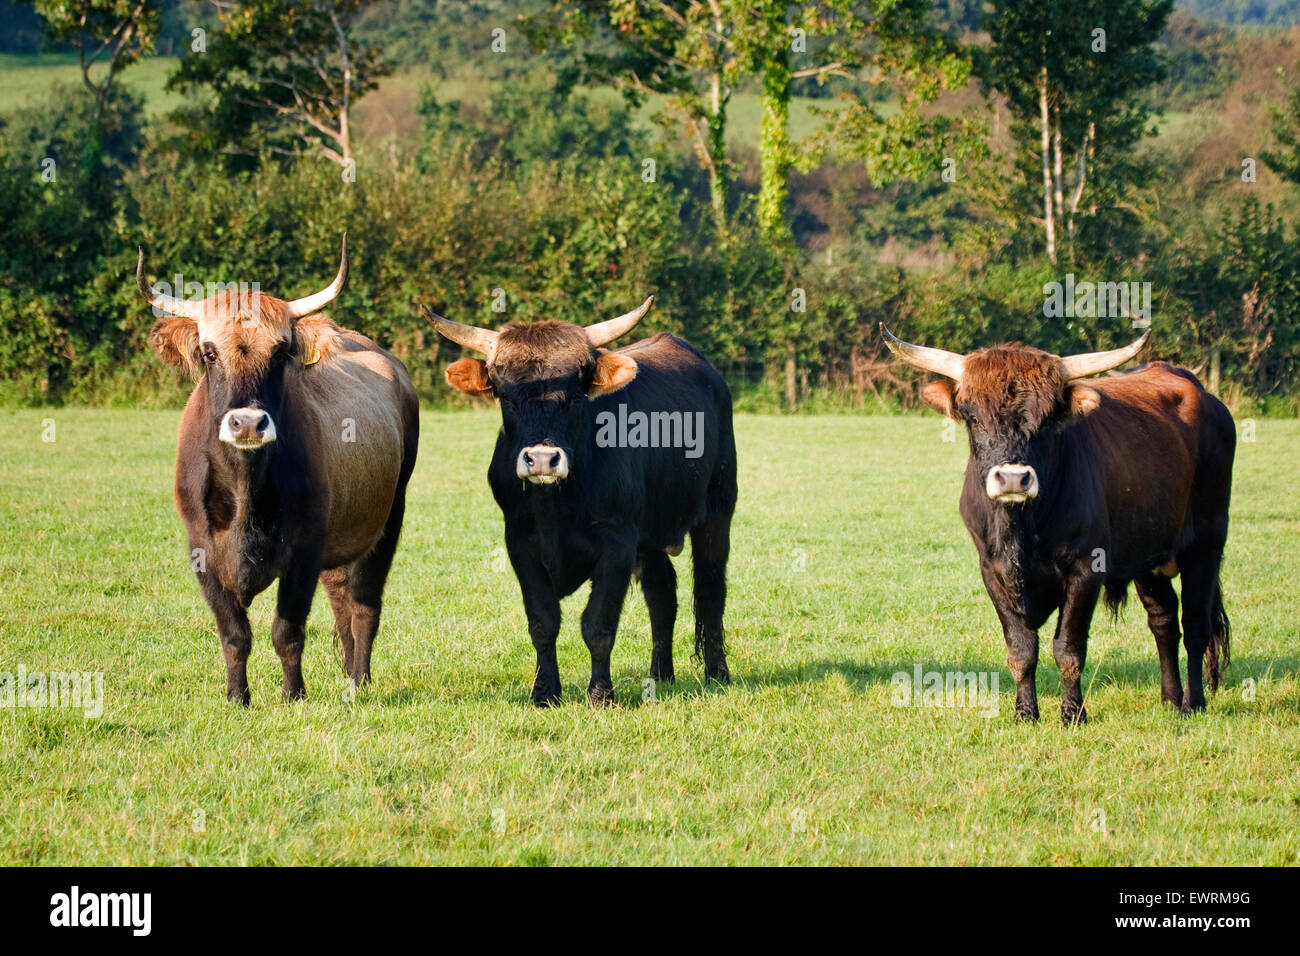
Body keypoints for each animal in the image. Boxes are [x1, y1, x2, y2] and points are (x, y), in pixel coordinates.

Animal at [135, 239, 416, 702]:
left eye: (281, 352)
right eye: (209, 352)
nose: (248, 423)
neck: (245, 490)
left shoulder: (304, 550)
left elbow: (287, 631)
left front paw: (292, 696)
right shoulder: (202, 552)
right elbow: (234, 634)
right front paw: (237, 697)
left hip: (389, 518)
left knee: (363, 605)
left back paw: (357, 681)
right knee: (341, 601)